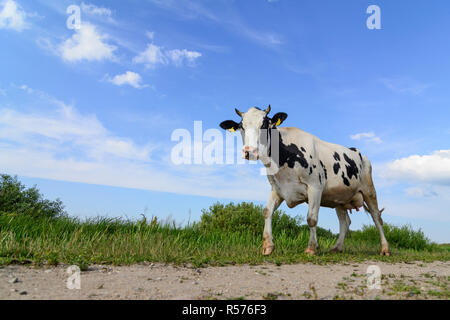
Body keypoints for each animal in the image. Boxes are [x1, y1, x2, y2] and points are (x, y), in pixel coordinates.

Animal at [221, 106, 390, 256]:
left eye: (264, 124)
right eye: (241, 126)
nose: (250, 151)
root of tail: (358, 151)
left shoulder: (315, 187)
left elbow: (311, 218)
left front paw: (311, 248)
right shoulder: (277, 189)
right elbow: (267, 212)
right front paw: (267, 246)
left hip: (369, 190)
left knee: (377, 218)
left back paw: (385, 249)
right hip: (339, 198)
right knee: (345, 222)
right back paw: (337, 248)